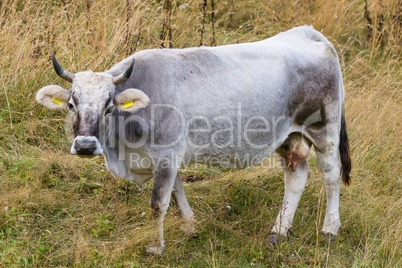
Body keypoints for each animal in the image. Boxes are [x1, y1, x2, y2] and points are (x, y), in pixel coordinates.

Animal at [37, 26, 352, 254]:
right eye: (71, 105)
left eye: (109, 107)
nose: (85, 146)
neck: (124, 150)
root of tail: (308, 33)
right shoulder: (167, 157)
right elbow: (177, 193)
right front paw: (190, 226)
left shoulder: (166, 155)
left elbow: (158, 203)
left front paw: (155, 247)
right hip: (288, 136)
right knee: (296, 176)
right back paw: (278, 231)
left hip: (324, 131)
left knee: (331, 176)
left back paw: (330, 228)